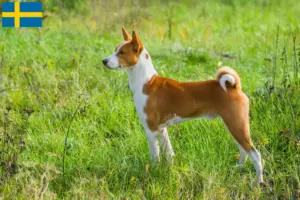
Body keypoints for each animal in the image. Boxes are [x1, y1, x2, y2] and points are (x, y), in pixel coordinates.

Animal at [102, 27, 264, 184]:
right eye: (115, 49)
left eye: (122, 52)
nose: (104, 61)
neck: (146, 82)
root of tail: (234, 87)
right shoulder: (162, 130)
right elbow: (169, 154)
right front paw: (170, 172)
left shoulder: (151, 130)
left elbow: (155, 157)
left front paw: (154, 173)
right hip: (233, 126)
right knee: (243, 150)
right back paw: (239, 168)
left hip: (236, 125)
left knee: (255, 154)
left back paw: (258, 181)